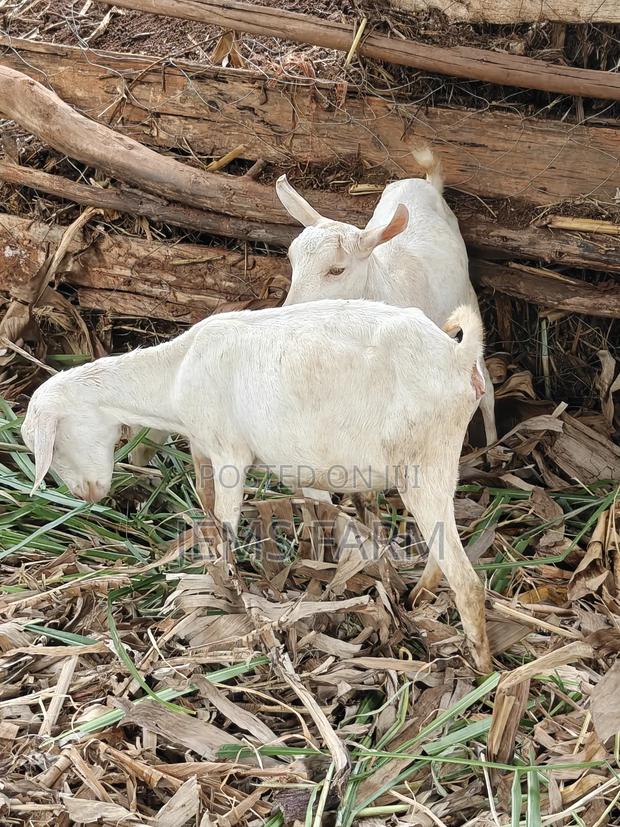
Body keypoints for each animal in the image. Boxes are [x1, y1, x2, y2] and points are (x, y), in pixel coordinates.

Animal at [22, 299, 491, 671]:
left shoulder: (230, 453)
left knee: (466, 579)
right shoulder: (237, 453)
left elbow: (226, 522)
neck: (176, 374)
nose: (86, 494)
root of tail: (458, 356)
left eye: (55, 445)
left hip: (423, 460)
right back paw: (417, 599)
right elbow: (286, 516)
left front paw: (232, 594)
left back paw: (482, 669)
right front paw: (314, 576)